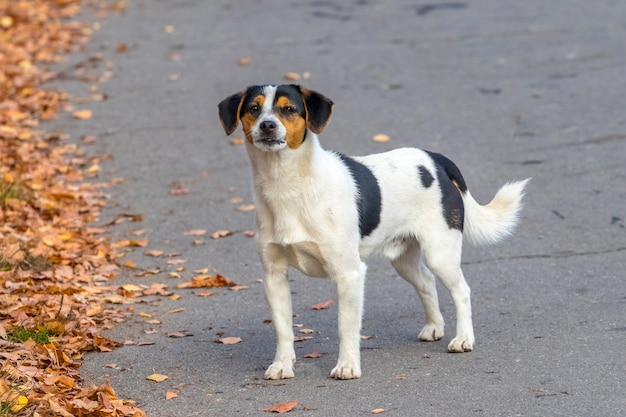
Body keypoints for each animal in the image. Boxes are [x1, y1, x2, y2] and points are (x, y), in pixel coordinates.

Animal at [218, 83, 528, 378]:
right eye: (254, 108)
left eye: (289, 109)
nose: (267, 125)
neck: (287, 187)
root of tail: (436, 159)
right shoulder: (274, 276)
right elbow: (283, 328)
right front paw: (282, 365)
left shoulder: (349, 274)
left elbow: (346, 326)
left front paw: (347, 367)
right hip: (404, 259)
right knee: (427, 282)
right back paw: (434, 328)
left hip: (441, 253)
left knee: (462, 291)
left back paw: (463, 339)